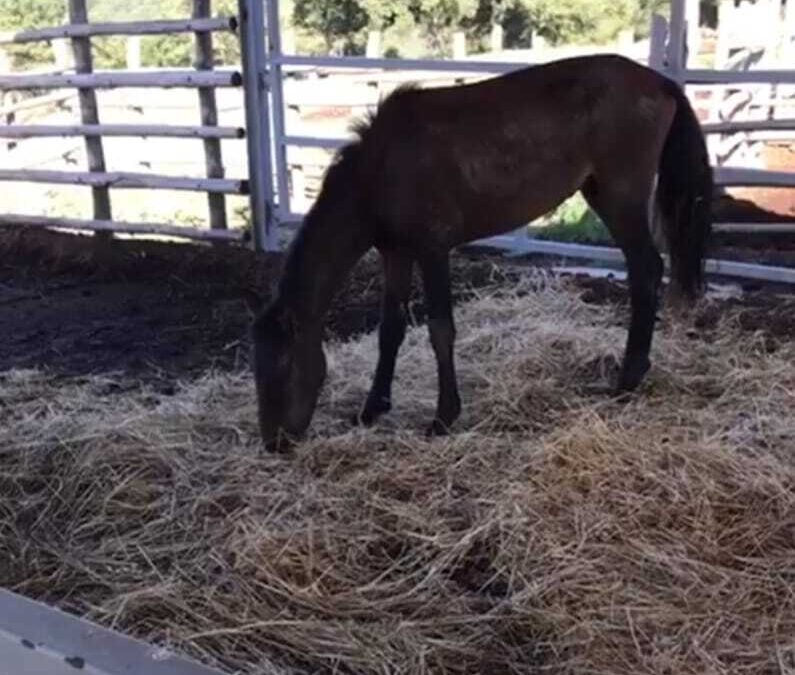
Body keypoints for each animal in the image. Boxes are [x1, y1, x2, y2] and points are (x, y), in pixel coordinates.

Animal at [249, 54, 713, 452]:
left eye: (284, 366)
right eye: (257, 369)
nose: (275, 443)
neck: (380, 170)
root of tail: (661, 83)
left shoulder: (433, 249)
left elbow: (440, 330)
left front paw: (443, 417)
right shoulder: (395, 253)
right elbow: (390, 330)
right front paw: (372, 408)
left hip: (621, 197)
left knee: (646, 269)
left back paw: (627, 380)